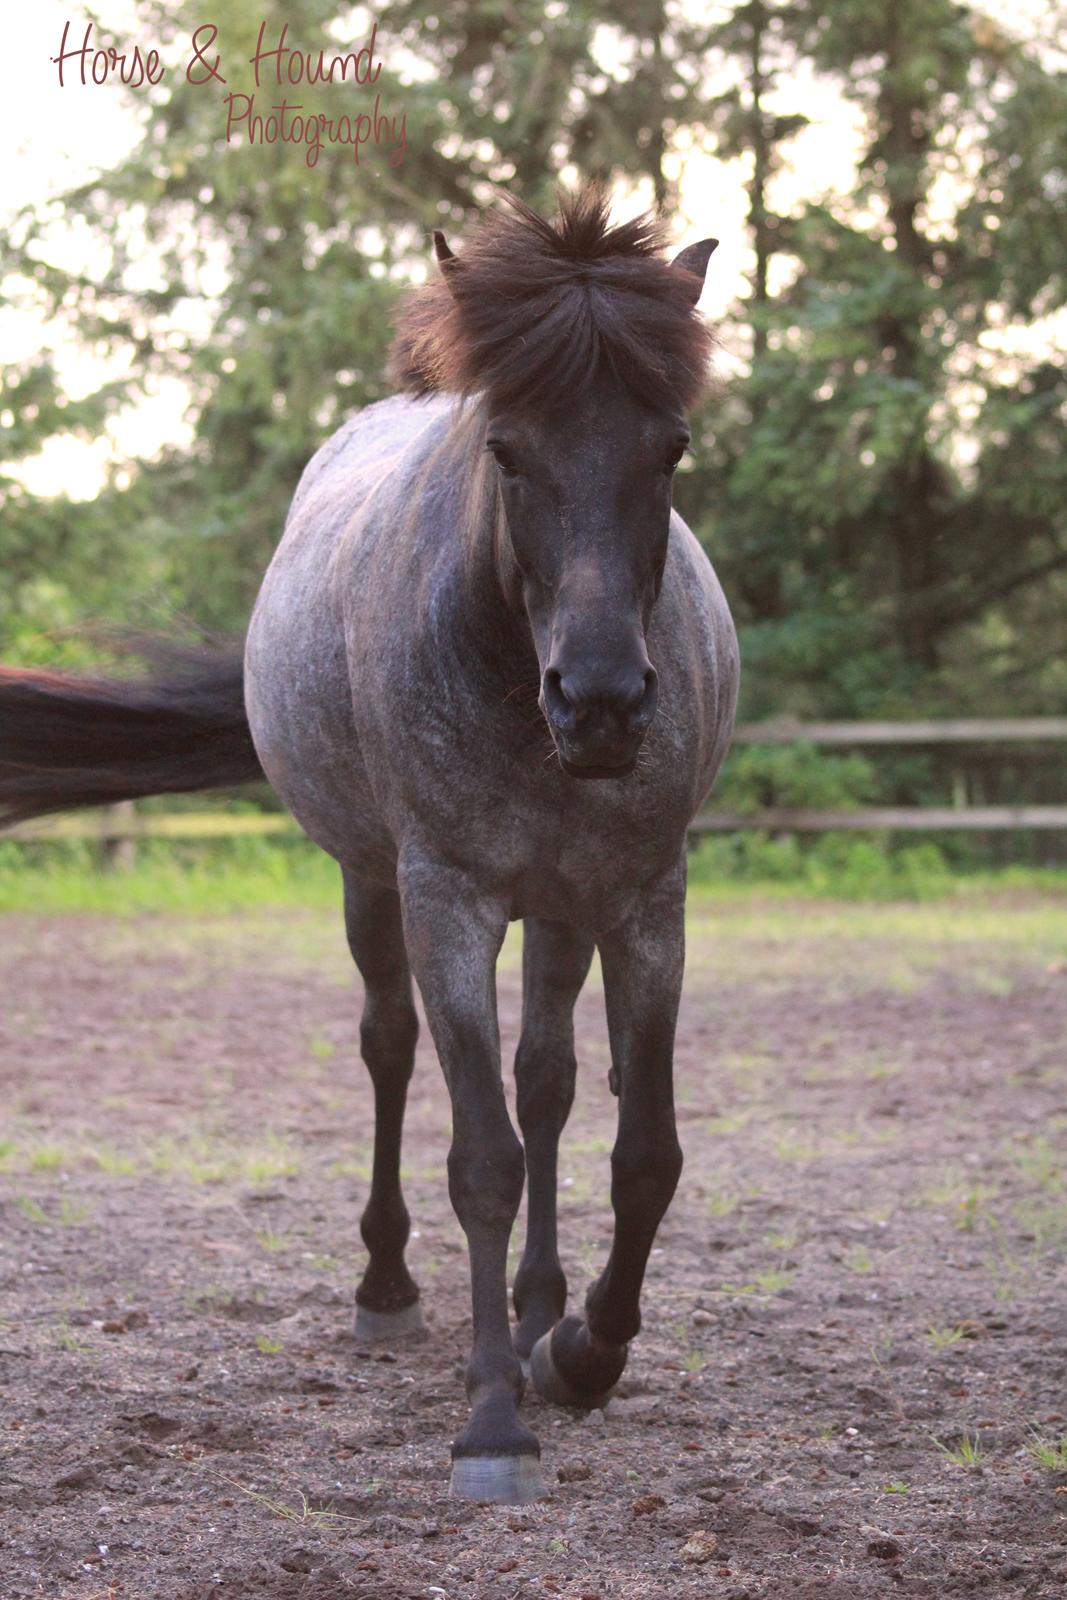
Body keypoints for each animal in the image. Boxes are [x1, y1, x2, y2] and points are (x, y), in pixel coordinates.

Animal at [0, 184, 739, 1497]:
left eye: (670, 449)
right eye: (507, 451)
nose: (600, 701)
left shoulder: (646, 897)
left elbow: (640, 1152)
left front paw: (580, 1350)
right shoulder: (443, 897)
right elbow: (482, 1157)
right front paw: (494, 1419)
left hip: (559, 905)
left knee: (544, 1081)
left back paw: (538, 1305)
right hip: (366, 881)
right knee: (392, 1050)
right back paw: (389, 1286)